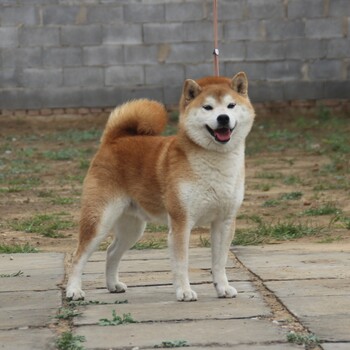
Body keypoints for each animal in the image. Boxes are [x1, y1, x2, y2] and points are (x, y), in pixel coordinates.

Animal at [66, 73, 254, 300]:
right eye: (208, 107)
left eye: (231, 105)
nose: (223, 118)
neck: (216, 162)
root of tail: (114, 139)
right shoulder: (181, 222)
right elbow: (181, 262)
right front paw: (184, 291)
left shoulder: (224, 221)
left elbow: (219, 262)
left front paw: (223, 288)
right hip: (100, 220)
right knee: (78, 256)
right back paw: (74, 290)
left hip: (132, 228)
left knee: (111, 251)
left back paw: (113, 285)